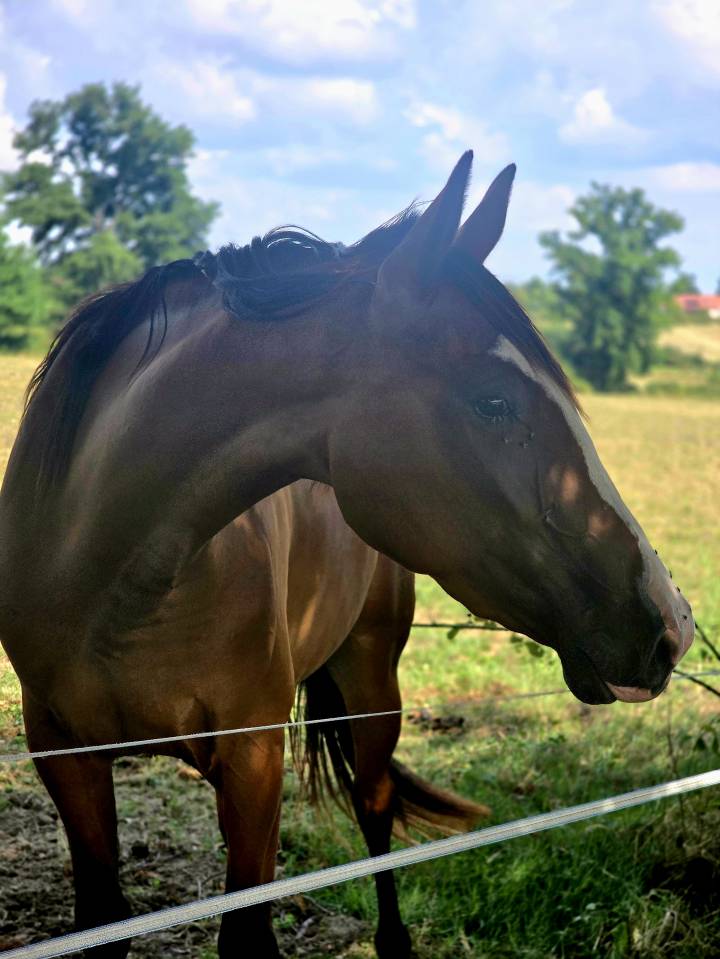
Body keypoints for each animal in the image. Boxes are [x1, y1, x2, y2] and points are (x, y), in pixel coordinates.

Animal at [0, 152, 693, 957]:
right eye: (493, 401)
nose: (674, 622)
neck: (113, 578)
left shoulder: (253, 760)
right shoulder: (64, 756)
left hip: (372, 679)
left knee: (375, 805)